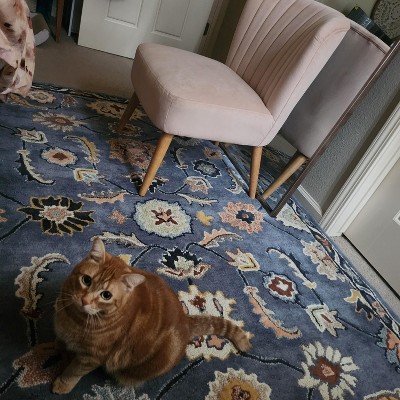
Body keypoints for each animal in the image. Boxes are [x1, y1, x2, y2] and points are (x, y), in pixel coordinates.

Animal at [52, 237, 250, 394]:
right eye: (86, 280)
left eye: (106, 295)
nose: (84, 300)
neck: (73, 318)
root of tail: (185, 320)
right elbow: (60, 348)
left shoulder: (91, 357)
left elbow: (73, 371)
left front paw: (62, 383)